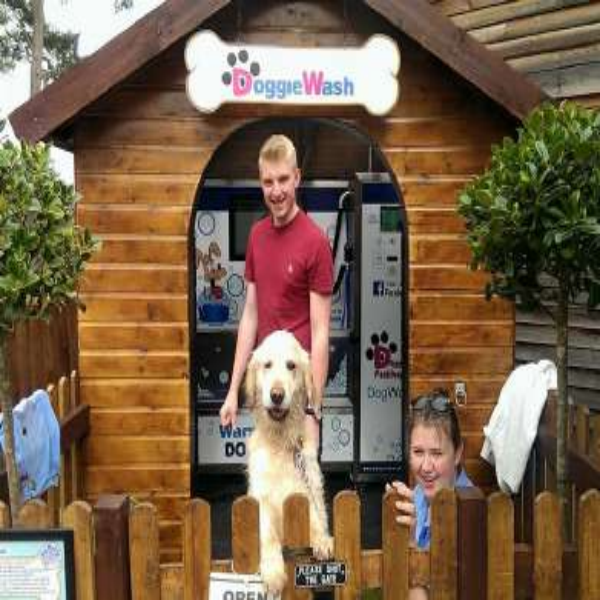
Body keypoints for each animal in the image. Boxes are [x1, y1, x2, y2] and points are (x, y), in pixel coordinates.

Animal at [246, 330, 336, 592]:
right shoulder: (261, 499)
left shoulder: (306, 489)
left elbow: (316, 516)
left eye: (291, 365)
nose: (277, 395)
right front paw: (274, 571)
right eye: (267, 365)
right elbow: (267, 534)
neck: (282, 442)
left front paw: (322, 539)